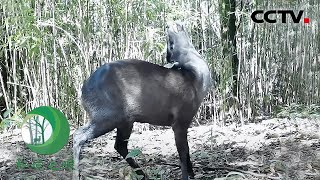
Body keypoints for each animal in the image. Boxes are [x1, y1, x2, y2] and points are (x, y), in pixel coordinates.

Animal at [73, 20, 211, 179]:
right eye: (171, 45)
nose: (169, 24)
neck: (196, 79)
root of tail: (82, 91)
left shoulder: (185, 122)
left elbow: (187, 152)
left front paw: (193, 174)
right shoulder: (180, 120)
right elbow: (182, 153)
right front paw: (186, 176)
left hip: (125, 120)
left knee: (119, 145)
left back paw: (143, 174)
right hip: (107, 115)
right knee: (78, 135)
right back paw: (76, 173)